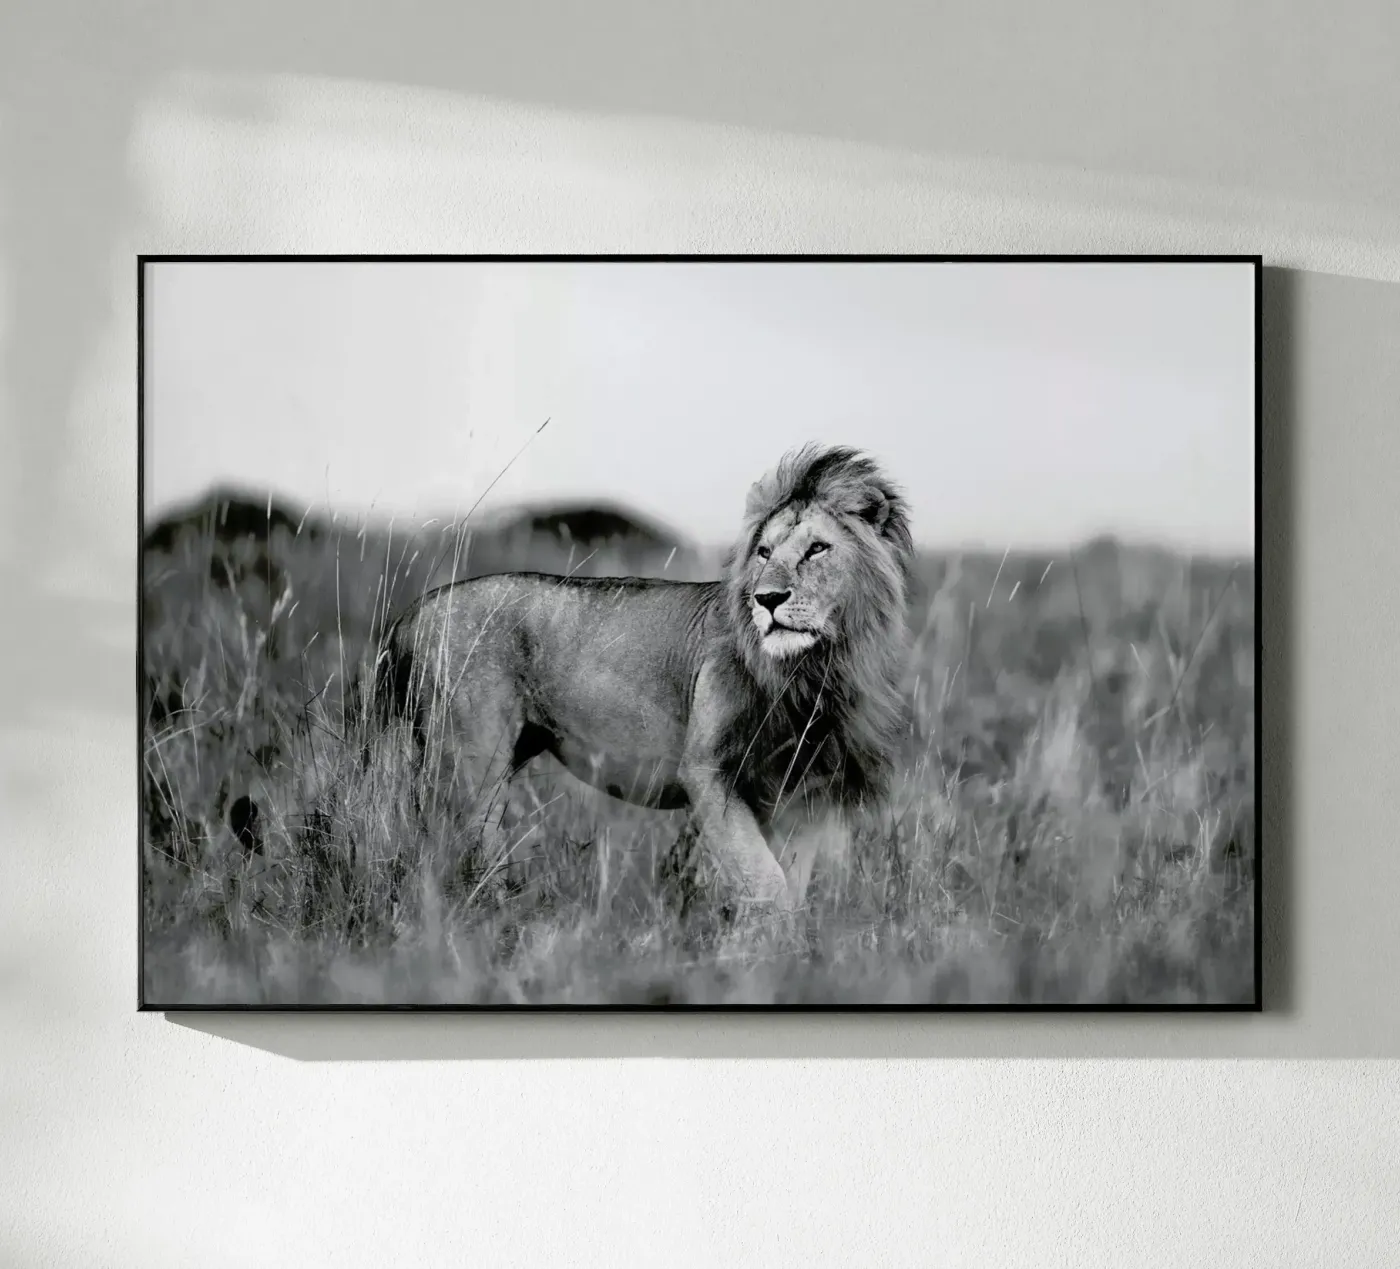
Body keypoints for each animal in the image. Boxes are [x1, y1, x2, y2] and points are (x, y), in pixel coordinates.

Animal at [361, 443, 914, 917]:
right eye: (763, 552)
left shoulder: (810, 793)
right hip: (472, 763)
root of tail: (412, 612)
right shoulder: (708, 773)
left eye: (817, 549)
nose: (768, 598)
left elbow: (789, 886)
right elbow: (766, 881)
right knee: (460, 852)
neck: (816, 670)